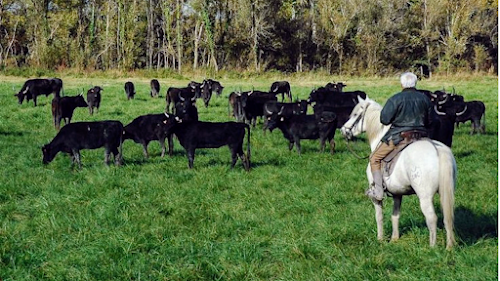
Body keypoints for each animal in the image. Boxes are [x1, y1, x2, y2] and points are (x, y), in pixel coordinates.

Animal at [342, 95, 456, 247]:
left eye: (355, 115)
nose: (343, 130)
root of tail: (438, 149)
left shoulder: (376, 196)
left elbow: (379, 216)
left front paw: (380, 238)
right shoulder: (397, 193)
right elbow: (395, 215)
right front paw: (394, 238)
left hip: (425, 197)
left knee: (432, 218)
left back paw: (432, 247)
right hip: (446, 193)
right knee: (447, 218)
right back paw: (449, 247)